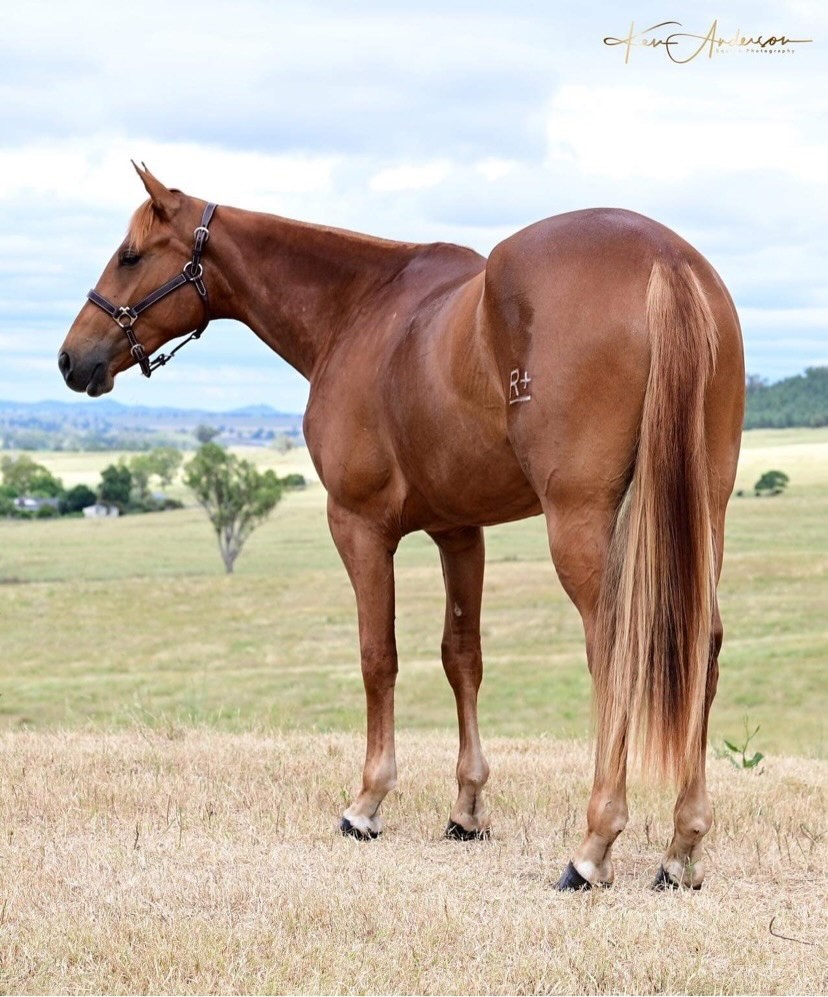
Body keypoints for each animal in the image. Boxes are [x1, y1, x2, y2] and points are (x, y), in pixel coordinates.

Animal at [59, 164, 744, 890]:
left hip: (581, 522)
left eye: (130, 255)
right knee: (701, 646)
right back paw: (682, 847)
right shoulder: (460, 530)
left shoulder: (358, 525)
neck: (360, 310)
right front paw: (467, 809)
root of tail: (665, 260)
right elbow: (461, 657)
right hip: (704, 514)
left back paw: (593, 846)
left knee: (615, 651)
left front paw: (367, 802)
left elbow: (377, 656)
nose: (71, 359)